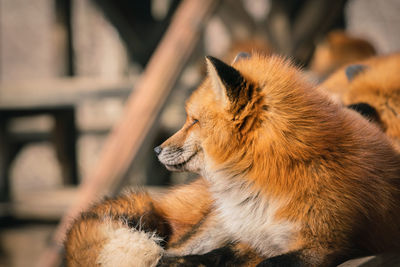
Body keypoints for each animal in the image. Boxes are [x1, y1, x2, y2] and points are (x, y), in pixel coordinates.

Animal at [64, 53, 400, 266]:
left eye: (193, 121)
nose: (157, 150)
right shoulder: (250, 240)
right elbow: (208, 256)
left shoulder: (324, 245)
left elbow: (260, 263)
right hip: (213, 226)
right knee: (169, 249)